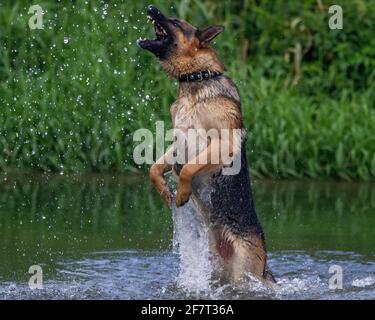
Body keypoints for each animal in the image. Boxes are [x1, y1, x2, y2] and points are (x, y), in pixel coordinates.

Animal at [140, 5, 274, 284]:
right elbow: (154, 168)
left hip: (242, 272)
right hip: (215, 265)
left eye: (176, 21)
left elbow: (189, 169)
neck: (196, 79)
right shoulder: (177, 143)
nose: (150, 8)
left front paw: (181, 192)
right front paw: (165, 193)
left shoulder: (222, 145)